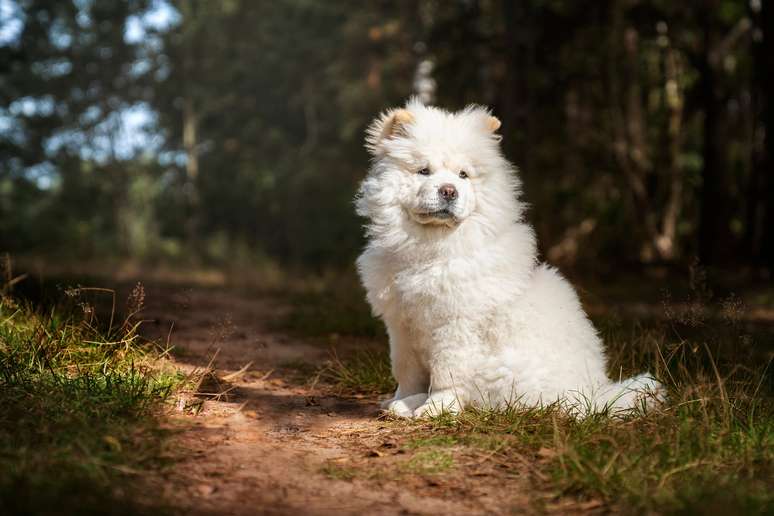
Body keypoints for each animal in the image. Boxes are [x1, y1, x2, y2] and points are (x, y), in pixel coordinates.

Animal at [358, 99, 668, 418]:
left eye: (463, 175)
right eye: (423, 171)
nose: (448, 191)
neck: (432, 246)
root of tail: (594, 397)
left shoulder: (456, 326)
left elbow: (447, 376)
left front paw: (435, 408)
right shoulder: (401, 325)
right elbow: (406, 372)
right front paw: (401, 399)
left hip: (500, 369)